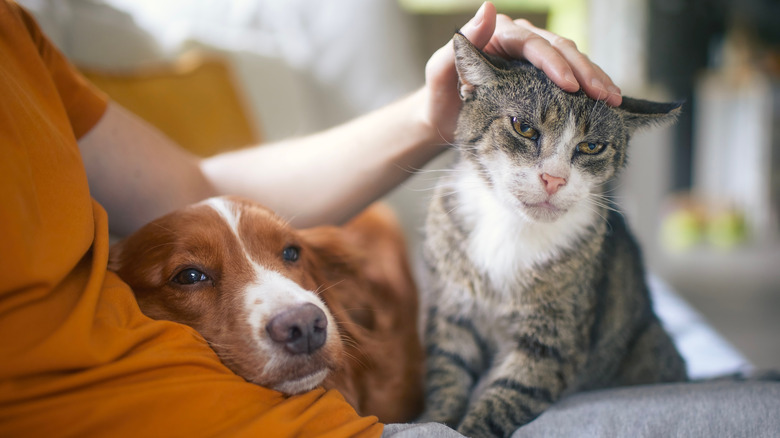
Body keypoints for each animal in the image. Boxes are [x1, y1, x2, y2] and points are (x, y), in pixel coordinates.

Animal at [420, 32, 688, 436]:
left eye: (591, 146)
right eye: (523, 127)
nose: (554, 178)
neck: (512, 228)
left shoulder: (553, 336)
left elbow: (509, 393)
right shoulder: (452, 312)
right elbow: (447, 374)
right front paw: (434, 420)